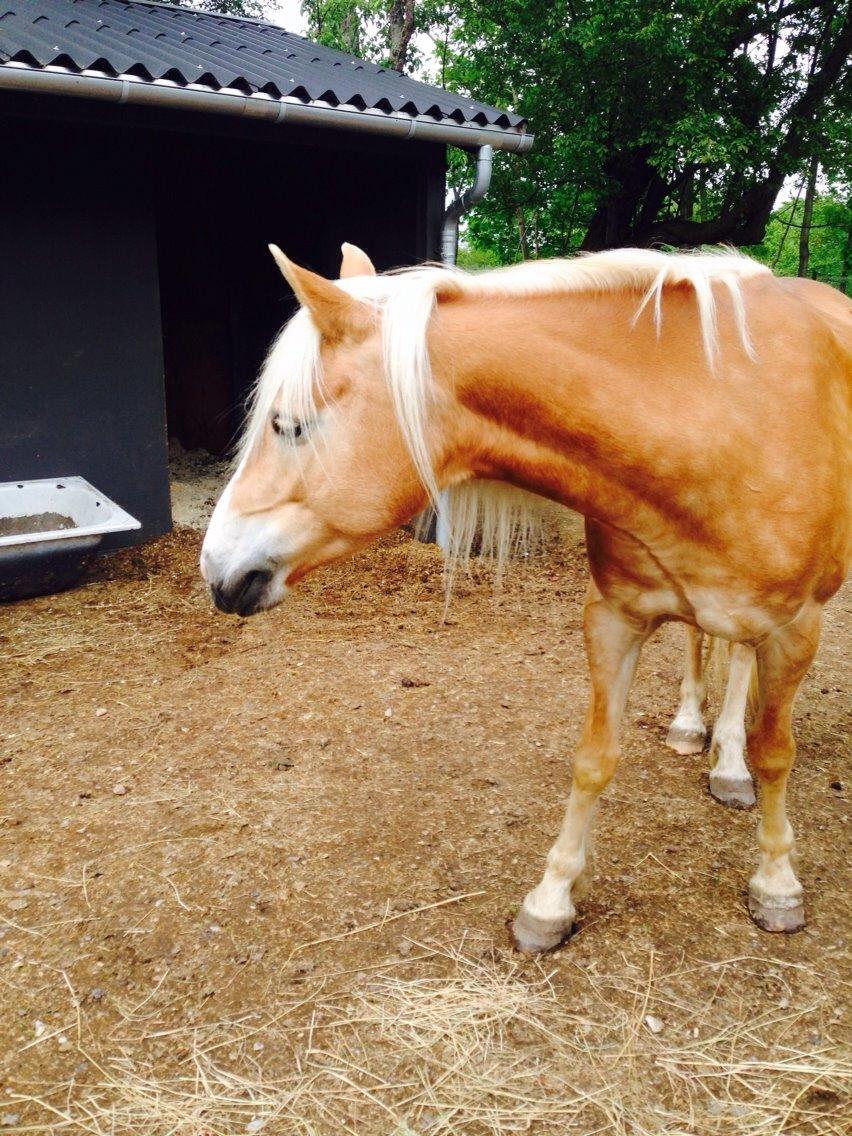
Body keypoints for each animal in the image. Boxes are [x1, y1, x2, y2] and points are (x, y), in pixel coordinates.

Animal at [203, 244, 849, 954]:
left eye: (288, 425)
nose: (215, 567)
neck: (718, 423)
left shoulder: (797, 628)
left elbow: (775, 754)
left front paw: (778, 883)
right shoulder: (613, 618)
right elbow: (594, 759)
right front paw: (551, 900)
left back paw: (730, 765)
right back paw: (694, 731)